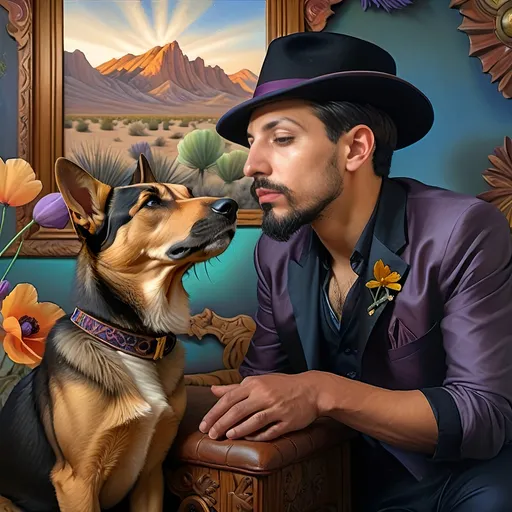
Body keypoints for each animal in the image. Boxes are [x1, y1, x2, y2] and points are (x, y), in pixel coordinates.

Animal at [0, 156, 238, 512]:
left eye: (188, 193)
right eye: (151, 202)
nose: (231, 206)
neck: (131, 340)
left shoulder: (151, 475)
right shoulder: (77, 484)